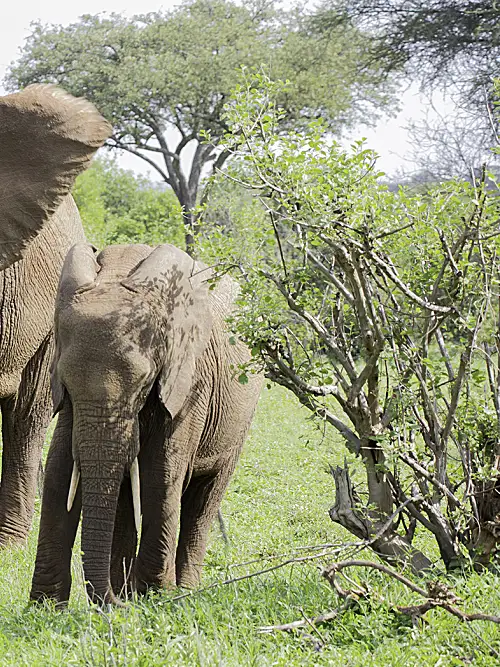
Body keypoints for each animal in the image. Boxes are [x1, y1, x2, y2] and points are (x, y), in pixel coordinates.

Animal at [29, 244, 264, 604]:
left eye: (144, 384)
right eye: (66, 383)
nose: (112, 603)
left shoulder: (190, 380)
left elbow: (161, 473)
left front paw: (156, 597)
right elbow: (60, 471)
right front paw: (45, 606)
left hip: (240, 417)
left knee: (204, 500)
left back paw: (179, 592)